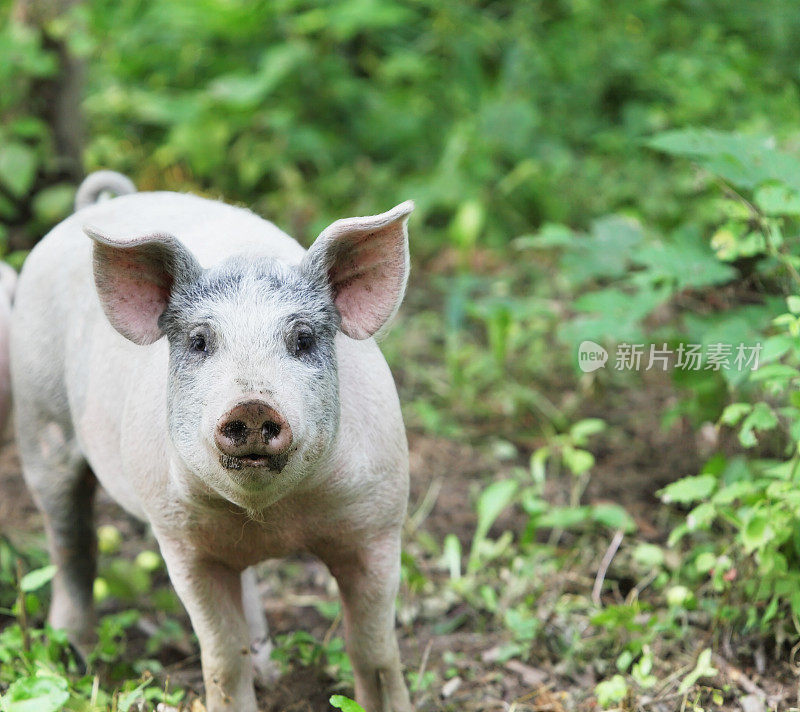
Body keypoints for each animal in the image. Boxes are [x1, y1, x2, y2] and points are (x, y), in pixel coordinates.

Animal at [10, 172, 412, 712]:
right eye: (200, 342)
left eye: (303, 339)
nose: (252, 405)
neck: (275, 518)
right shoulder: (182, 543)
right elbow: (221, 657)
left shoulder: (378, 523)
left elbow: (374, 650)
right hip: (39, 418)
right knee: (71, 542)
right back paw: (75, 655)